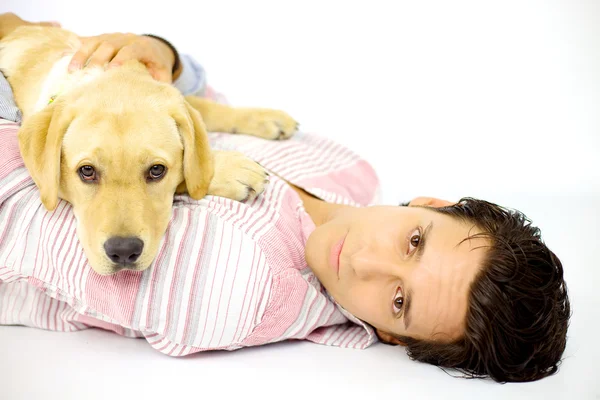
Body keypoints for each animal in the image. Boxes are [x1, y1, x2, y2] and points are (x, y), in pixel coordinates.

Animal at [0, 18, 298, 276]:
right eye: (86, 171)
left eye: (156, 170)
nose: (123, 252)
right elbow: (192, 171)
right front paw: (232, 170)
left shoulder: (178, 98)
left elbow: (207, 112)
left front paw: (268, 118)